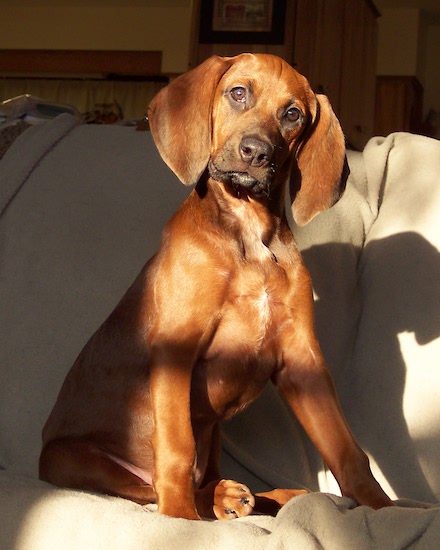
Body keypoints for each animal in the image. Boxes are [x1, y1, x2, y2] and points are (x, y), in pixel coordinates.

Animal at [40, 55, 392, 520]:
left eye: (292, 114)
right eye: (238, 93)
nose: (256, 152)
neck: (249, 233)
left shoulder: (303, 360)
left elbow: (347, 449)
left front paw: (387, 510)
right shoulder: (176, 346)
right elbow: (176, 448)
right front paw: (181, 521)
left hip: (216, 436)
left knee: (207, 477)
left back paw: (259, 496)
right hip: (70, 459)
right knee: (152, 484)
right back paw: (217, 500)